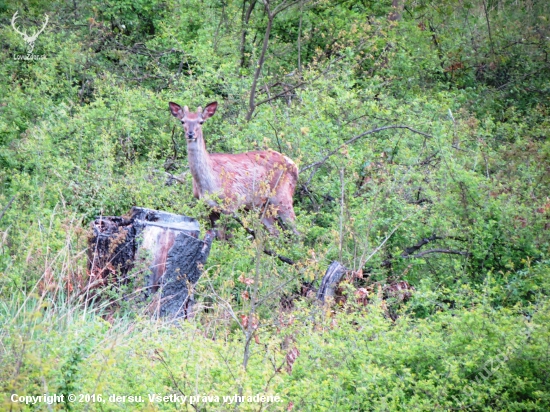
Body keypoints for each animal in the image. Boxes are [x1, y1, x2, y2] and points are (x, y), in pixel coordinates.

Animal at [170, 101, 300, 237]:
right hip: (263, 205)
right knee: (276, 232)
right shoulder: (208, 206)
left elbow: (223, 236)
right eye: (182, 121)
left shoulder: (231, 203)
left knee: (298, 231)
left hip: (283, 197)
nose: (190, 134)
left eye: (201, 122)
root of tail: (295, 165)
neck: (207, 184)